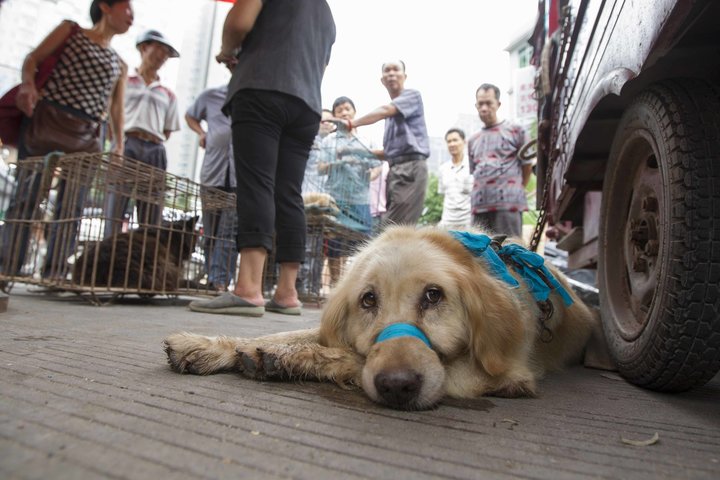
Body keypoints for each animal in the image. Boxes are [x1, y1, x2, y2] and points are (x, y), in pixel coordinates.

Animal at [165, 225, 596, 408]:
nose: (396, 386)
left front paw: (285, 357)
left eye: (434, 296)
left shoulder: (505, 375)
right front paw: (211, 345)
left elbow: (351, 357)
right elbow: (291, 332)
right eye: (368, 300)